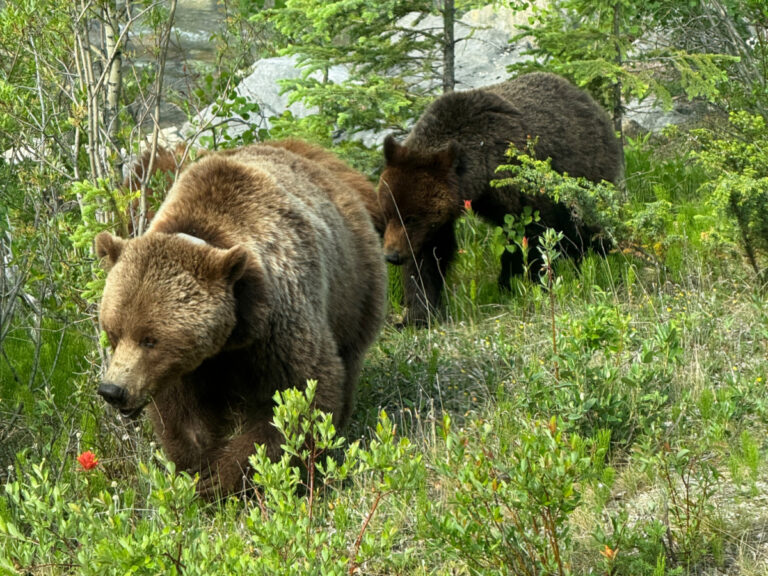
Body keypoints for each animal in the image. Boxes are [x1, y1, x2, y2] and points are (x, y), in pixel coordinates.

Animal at [95, 140, 387, 498]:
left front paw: (226, 476)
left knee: (349, 356)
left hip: (354, 286)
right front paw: (199, 469)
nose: (113, 390)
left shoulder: (277, 325)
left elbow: (298, 396)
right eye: (113, 332)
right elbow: (184, 417)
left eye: (150, 339)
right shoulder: (187, 370)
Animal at [377, 72, 623, 325]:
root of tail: (589, 101)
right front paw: (416, 315)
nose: (392, 255)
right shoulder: (441, 217)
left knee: (585, 225)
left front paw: (527, 284)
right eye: (388, 213)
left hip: (583, 174)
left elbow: (533, 236)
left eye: (412, 217)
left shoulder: (518, 184)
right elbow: (429, 256)